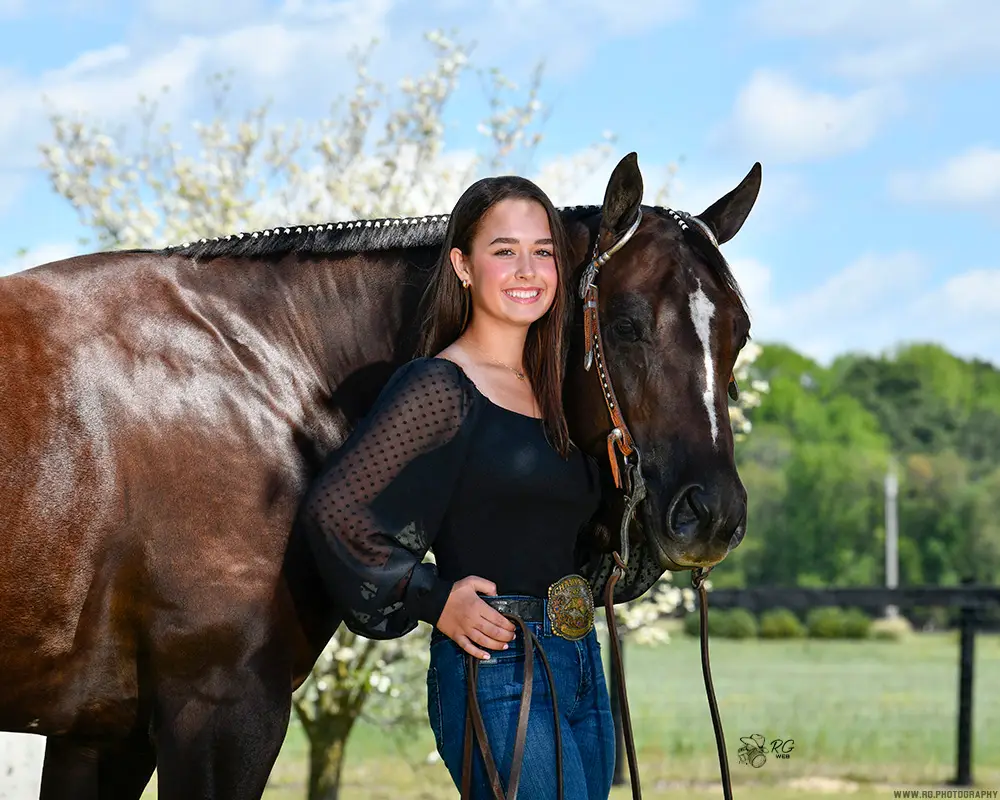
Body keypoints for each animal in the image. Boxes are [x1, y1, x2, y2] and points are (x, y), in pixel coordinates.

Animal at [0, 152, 760, 798]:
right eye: (627, 325)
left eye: (740, 334)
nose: (711, 513)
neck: (263, 374)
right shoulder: (217, 709)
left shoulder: (102, 732)